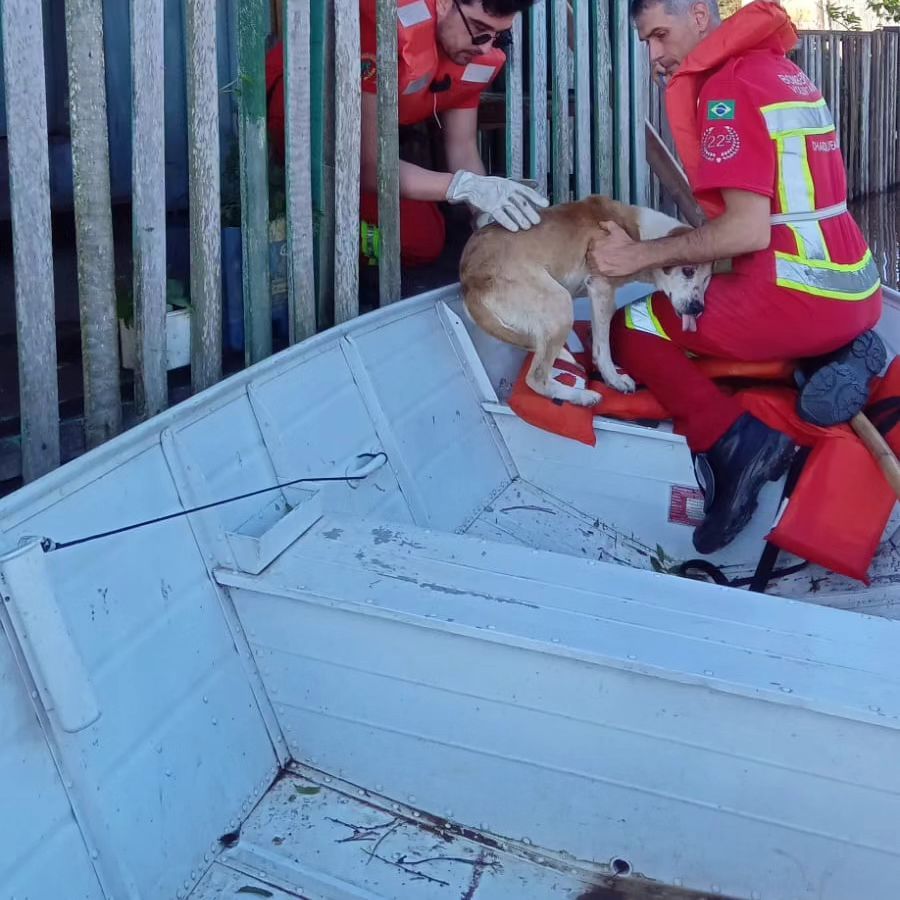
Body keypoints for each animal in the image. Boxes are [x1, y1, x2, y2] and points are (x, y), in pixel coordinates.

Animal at [460, 199, 712, 410]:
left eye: (707, 279)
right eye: (688, 271)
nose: (698, 309)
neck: (641, 238)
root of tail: (469, 280)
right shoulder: (601, 288)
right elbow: (603, 348)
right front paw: (614, 379)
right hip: (560, 304)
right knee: (537, 377)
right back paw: (581, 396)